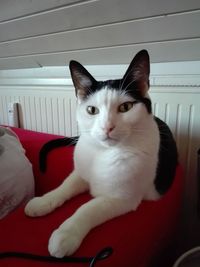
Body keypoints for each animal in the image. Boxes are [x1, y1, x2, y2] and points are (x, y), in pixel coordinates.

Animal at [24, 50, 177, 260]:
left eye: (125, 107)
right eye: (91, 110)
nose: (107, 127)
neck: (103, 153)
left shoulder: (122, 199)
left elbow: (87, 208)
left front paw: (66, 234)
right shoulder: (80, 174)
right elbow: (64, 187)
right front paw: (42, 202)